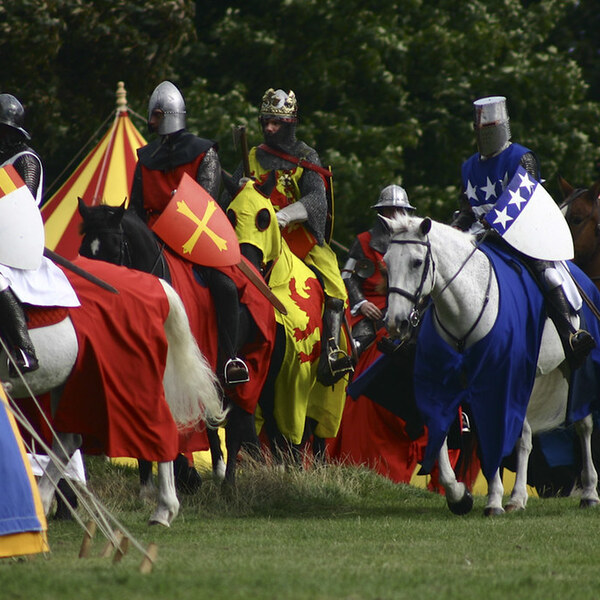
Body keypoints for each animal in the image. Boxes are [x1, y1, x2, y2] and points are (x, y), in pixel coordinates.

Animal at [382, 216, 596, 516]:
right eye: (386, 262)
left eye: (416, 262)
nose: (396, 322)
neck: (466, 307)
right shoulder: (446, 384)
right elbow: (442, 431)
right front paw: (460, 495)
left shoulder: (498, 380)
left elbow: (494, 434)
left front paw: (494, 500)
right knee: (526, 435)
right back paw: (518, 497)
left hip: (576, 371)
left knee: (583, 426)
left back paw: (589, 493)